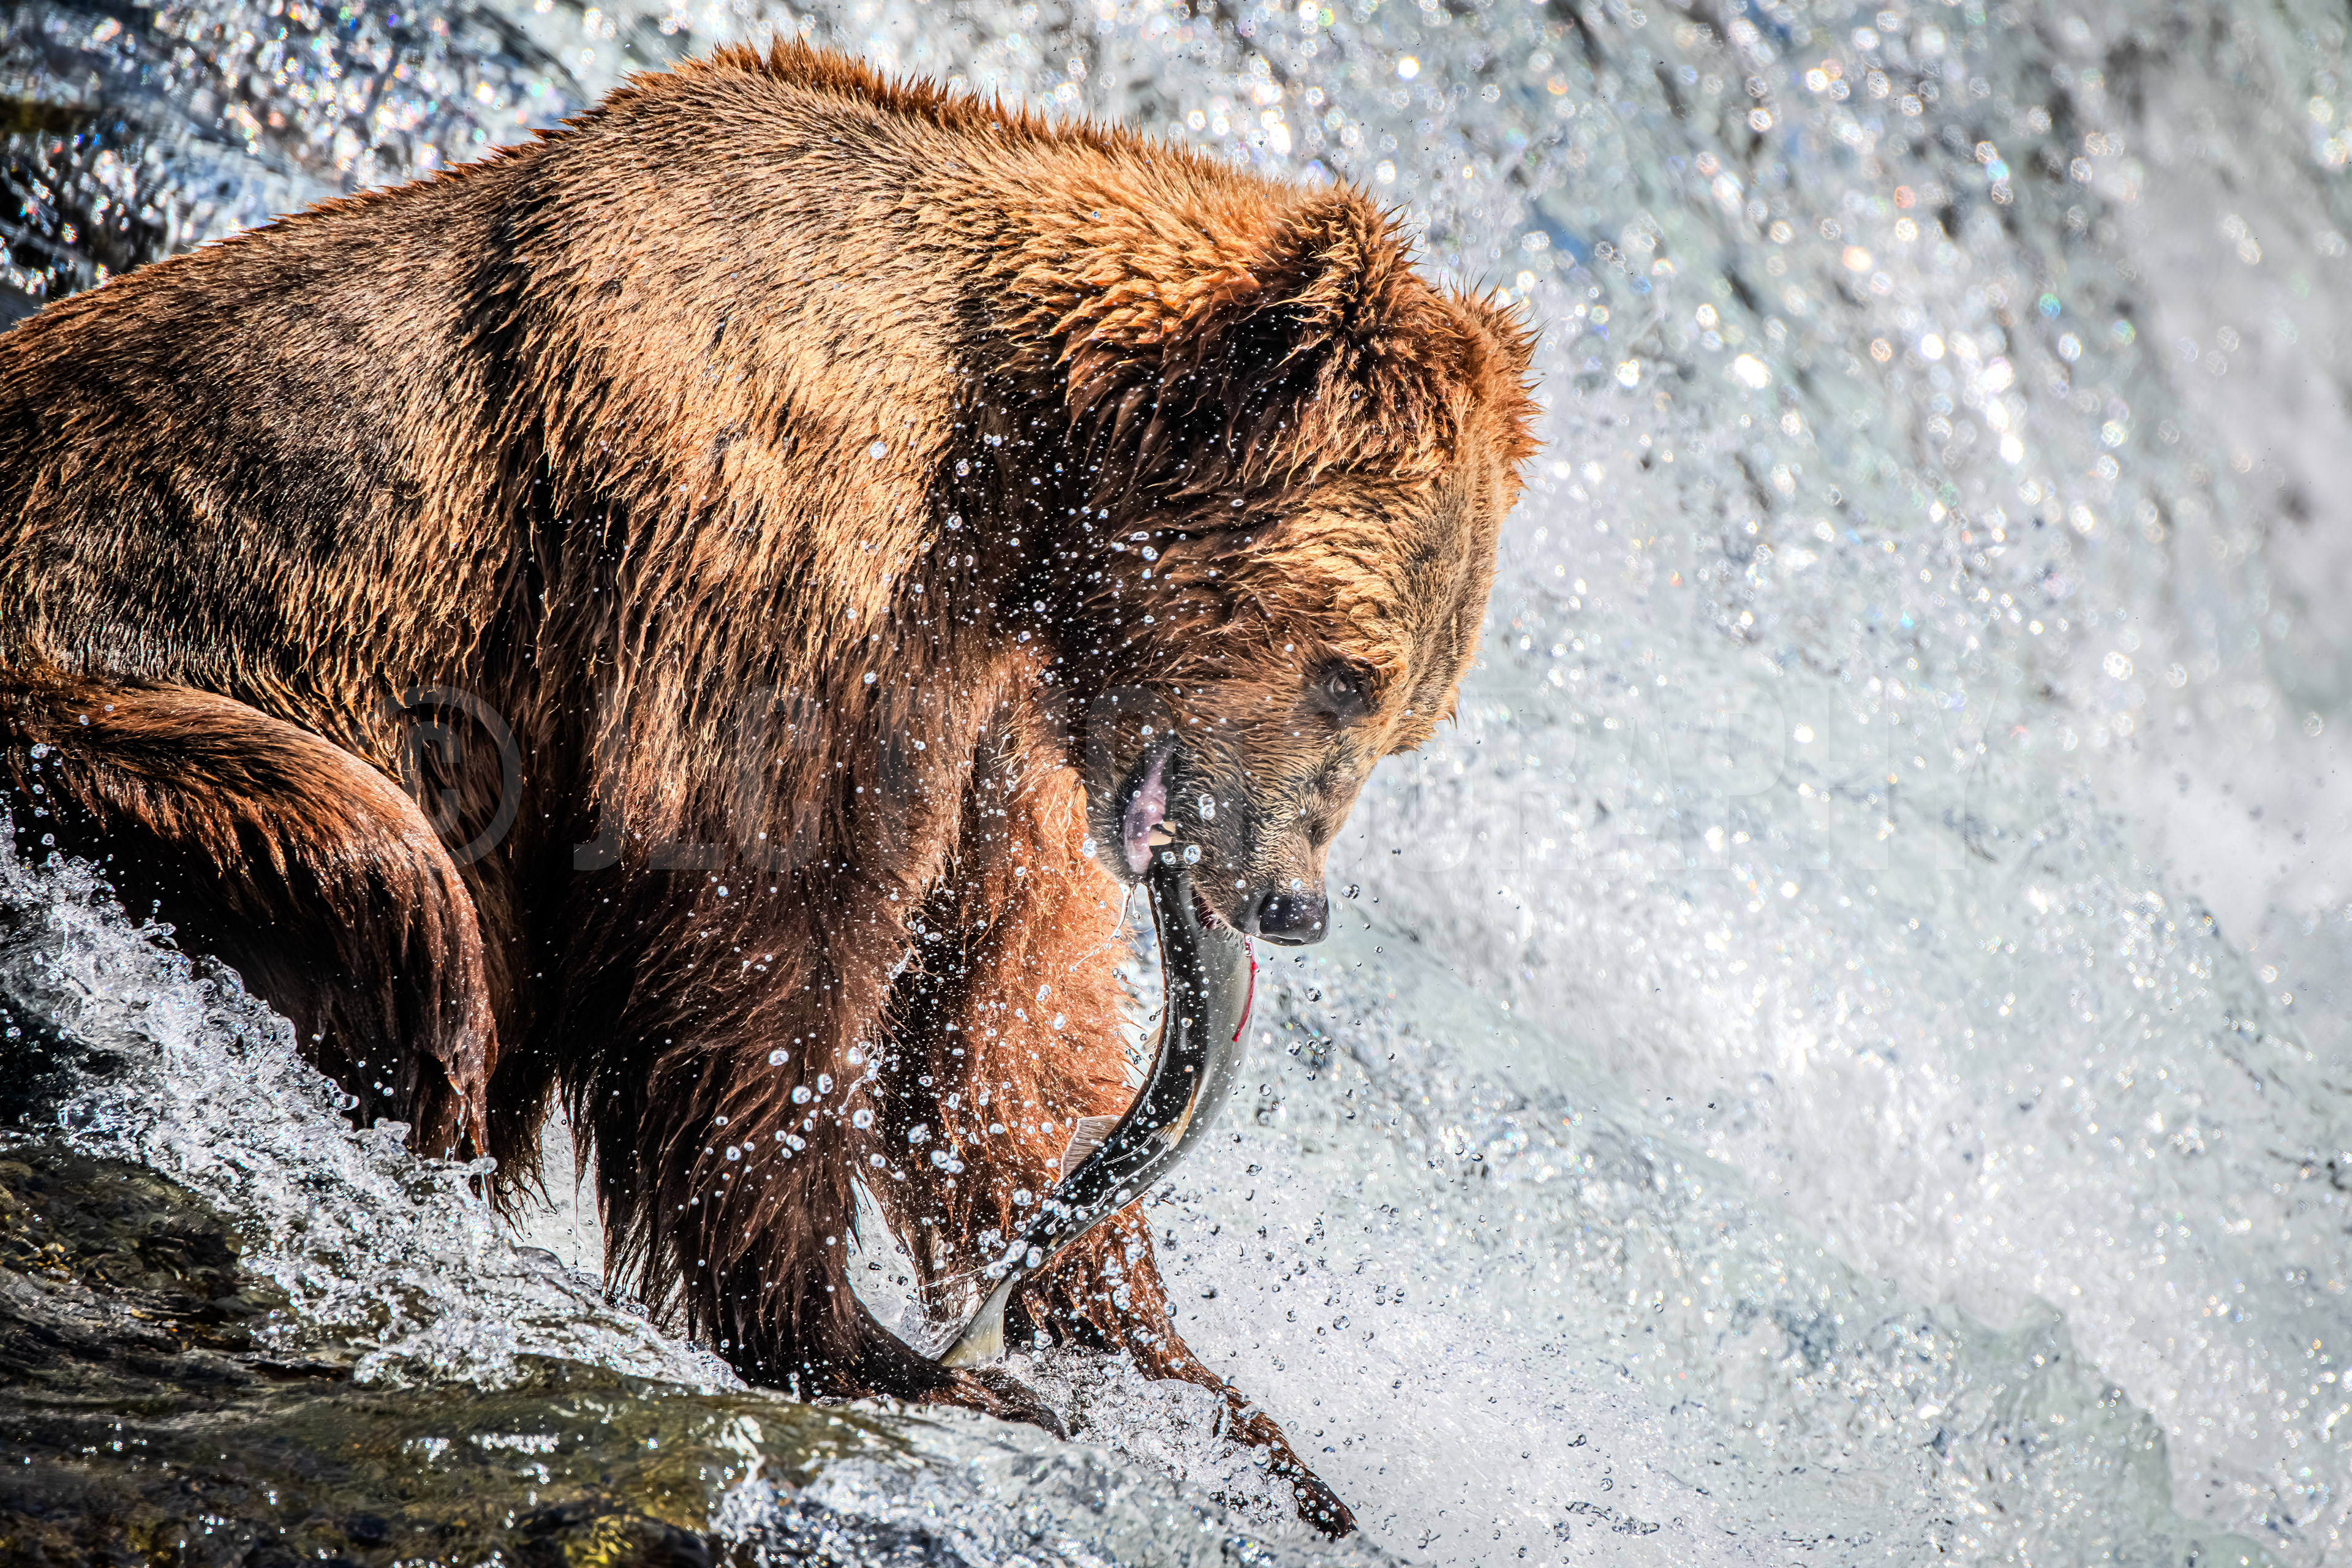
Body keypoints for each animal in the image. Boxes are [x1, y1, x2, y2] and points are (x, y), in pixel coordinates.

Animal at [0, 42, 1536, 1533]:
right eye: (1349, 674)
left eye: (1411, 714)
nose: (1291, 902)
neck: (1021, 473)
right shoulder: (781, 556)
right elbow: (756, 937)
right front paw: (888, 1349)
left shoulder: (990, 706)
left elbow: (988, 1020)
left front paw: (1208, 1403)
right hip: (124, 692)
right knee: (393, 884)